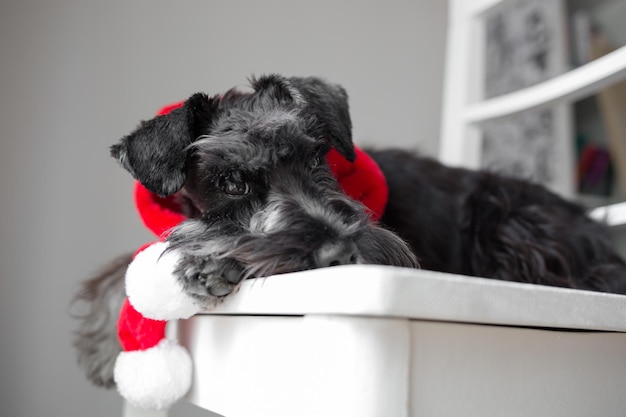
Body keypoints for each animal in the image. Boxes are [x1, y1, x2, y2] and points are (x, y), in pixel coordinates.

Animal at [74, 73, 624, 388]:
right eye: (231, 181)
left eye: (318, 156)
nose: (339, 250)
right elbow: (125, 264)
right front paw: (104, 339)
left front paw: (209, 258)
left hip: (511, 220)